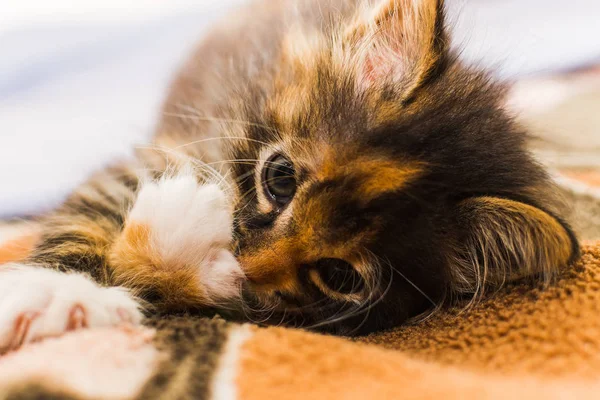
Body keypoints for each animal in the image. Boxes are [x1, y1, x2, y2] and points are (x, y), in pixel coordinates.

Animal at [1, 0, 580, 350]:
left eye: (339, 275)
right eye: (278, 178)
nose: (243, 259)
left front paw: (188, 247)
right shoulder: (171, 146)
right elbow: (87, 214)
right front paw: (63, 295)